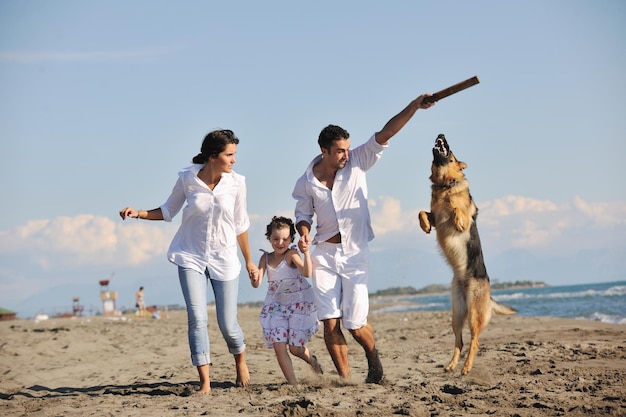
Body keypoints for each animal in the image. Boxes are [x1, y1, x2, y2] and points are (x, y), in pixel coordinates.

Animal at [416, 133, 516, 374]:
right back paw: (452, 364)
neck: (444, 184)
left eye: (451, 155)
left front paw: (457, 211)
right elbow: (422, 212)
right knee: (459, 342)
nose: (441, 134)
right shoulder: (434, 214)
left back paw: (467, 367)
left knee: (475, 342)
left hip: (473, 314)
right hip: (457, 314)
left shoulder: (460, 213)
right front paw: (424, 225)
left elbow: (457, 208)